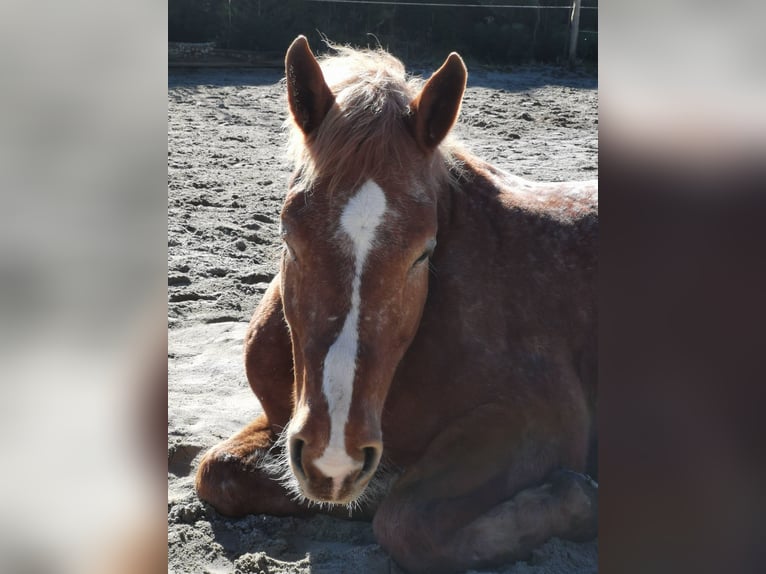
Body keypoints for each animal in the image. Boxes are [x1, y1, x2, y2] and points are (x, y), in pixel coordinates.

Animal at [194, 37, 600, 574]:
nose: (334, 456)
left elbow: (406, 523)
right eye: (287, 235)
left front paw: (580, 502)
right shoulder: (282, 421)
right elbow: (215, 471)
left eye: (423, 252)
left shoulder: (539, 419)